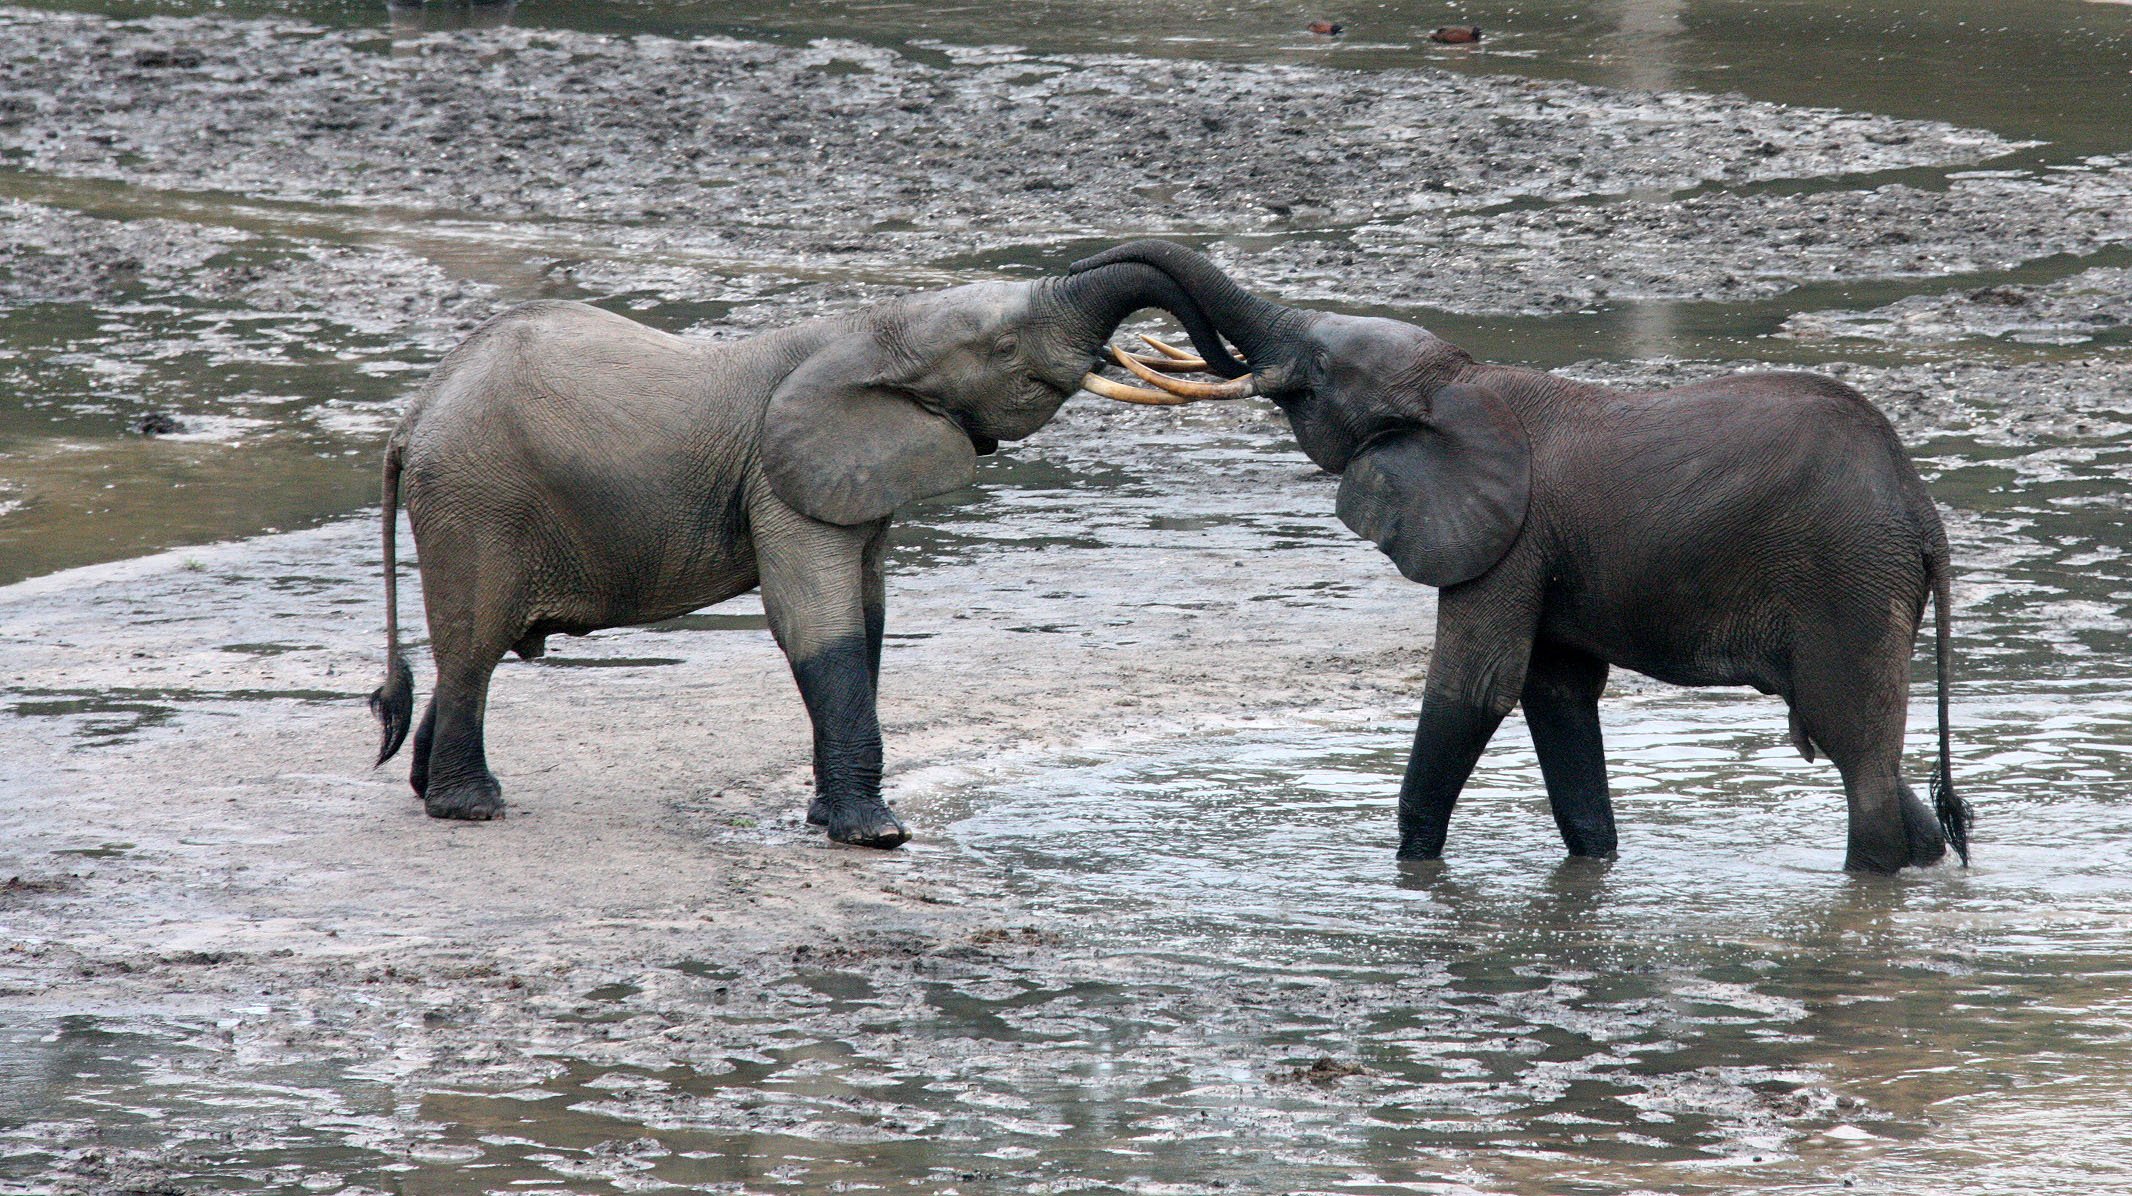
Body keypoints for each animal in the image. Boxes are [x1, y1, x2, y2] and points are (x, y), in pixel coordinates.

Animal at [367, 266, 1235, 847]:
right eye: (1006, 344)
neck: (869, 329)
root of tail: (413, 416)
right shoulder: (779, 481)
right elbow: (818, 623)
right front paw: (876, 834)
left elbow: (870, 617)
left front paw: (830, 818)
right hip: (477, 500)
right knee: (474, 643)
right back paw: (470, 807)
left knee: (468, 649)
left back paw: (427, 786)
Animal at [1069, 240, 1970, 874]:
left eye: (1320, 371)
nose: (1076, 274)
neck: (1460, 380)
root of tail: (1923, 515)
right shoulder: (1545, 550)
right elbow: (1557, 695)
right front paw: (1592, 870)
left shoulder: (1505, 538)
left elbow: (1476, 687)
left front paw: (1413, 873)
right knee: (1872, 759)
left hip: (1848, 579)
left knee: (1855, 755)